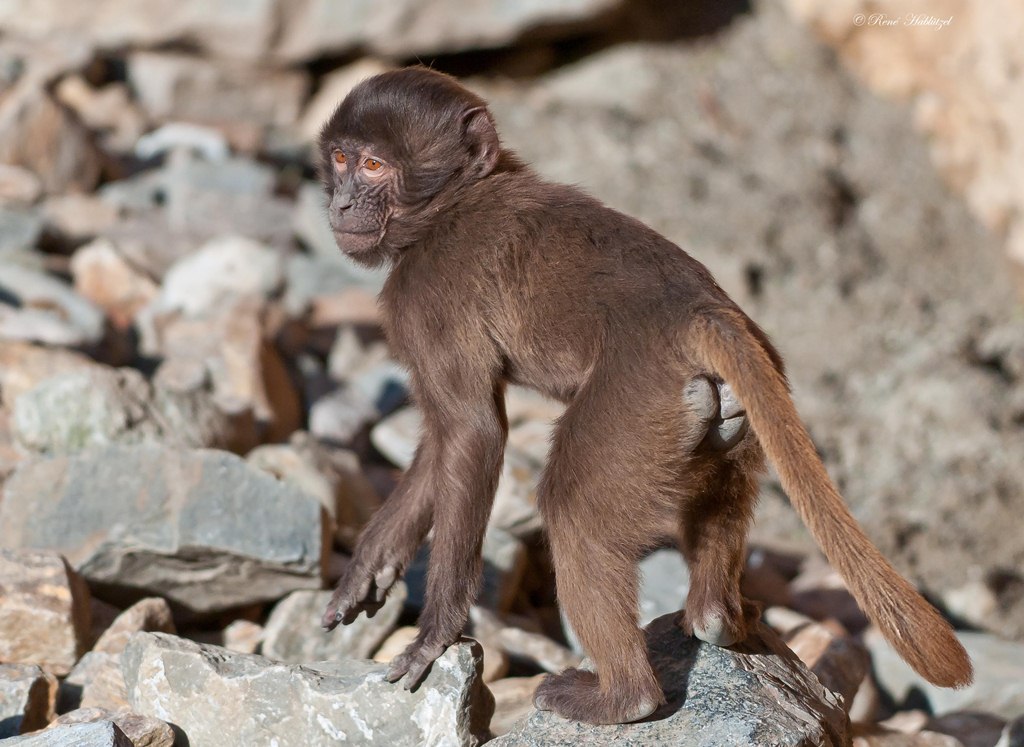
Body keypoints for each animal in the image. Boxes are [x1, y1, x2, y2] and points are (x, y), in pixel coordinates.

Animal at [315, 65, 970, 721]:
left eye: (373, 165)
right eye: (341, 159)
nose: (339, 203)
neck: (454, 200)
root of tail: (699, 312)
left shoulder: (427, 292)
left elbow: (472, 431)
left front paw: (434, 635)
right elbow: (445, 441)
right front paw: (370, 565)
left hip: (635, 397)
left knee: (572, 505)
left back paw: (623, 697)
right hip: (731, 400)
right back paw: (714, 619)